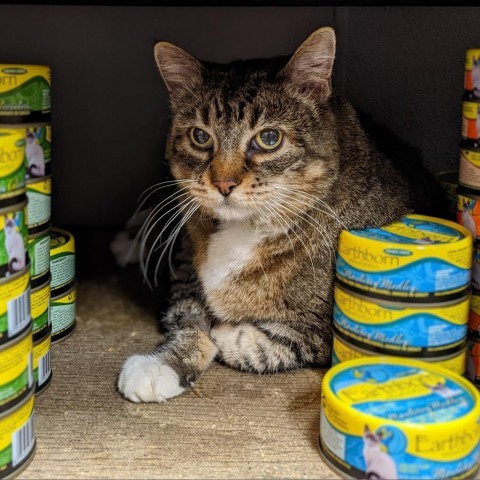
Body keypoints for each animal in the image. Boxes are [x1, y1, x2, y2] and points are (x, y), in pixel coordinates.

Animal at [116, 25, 450, 402]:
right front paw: (161, 365)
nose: (223, 183)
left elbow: (284, 341)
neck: (246, 228)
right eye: (200, 136)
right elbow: (188, 315)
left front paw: (227, 334)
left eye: (270, 138)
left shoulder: (327, 327)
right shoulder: (185, 267)